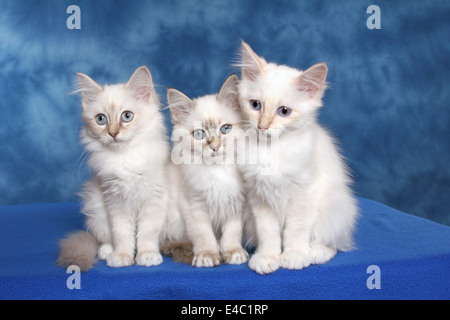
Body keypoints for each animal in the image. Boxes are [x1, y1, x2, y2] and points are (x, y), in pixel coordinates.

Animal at [56, 65, 169, 270]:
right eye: (101, 119)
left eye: (127, 116)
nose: (113, 133)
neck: (125, 158)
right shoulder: (115, 201)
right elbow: (121, 234)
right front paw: (122, 257)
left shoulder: (153, 199)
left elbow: (147, 233)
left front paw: (147, 255)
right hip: (96, 207)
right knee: (105, 238)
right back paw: (107, 251)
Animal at [163, 75, 250, 268]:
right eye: (199, 134)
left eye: (225, 129)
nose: (214, 146)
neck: (217, 172)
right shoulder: (194, 206)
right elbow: (203, 235)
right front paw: (207, 256)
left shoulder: (236, 204)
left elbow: (232, 234)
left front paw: (233, 253)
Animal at [237, 40, 356, 276]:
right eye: (255, 105)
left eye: (284, 111)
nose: (262, 126)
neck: (271, 150)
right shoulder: (259, 198)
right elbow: (269, 234)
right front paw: (267, 257)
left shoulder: (304, 195)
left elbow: (296, 231)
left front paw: (294, 256)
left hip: (333, 207)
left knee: (331, 242)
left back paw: (316, 253)